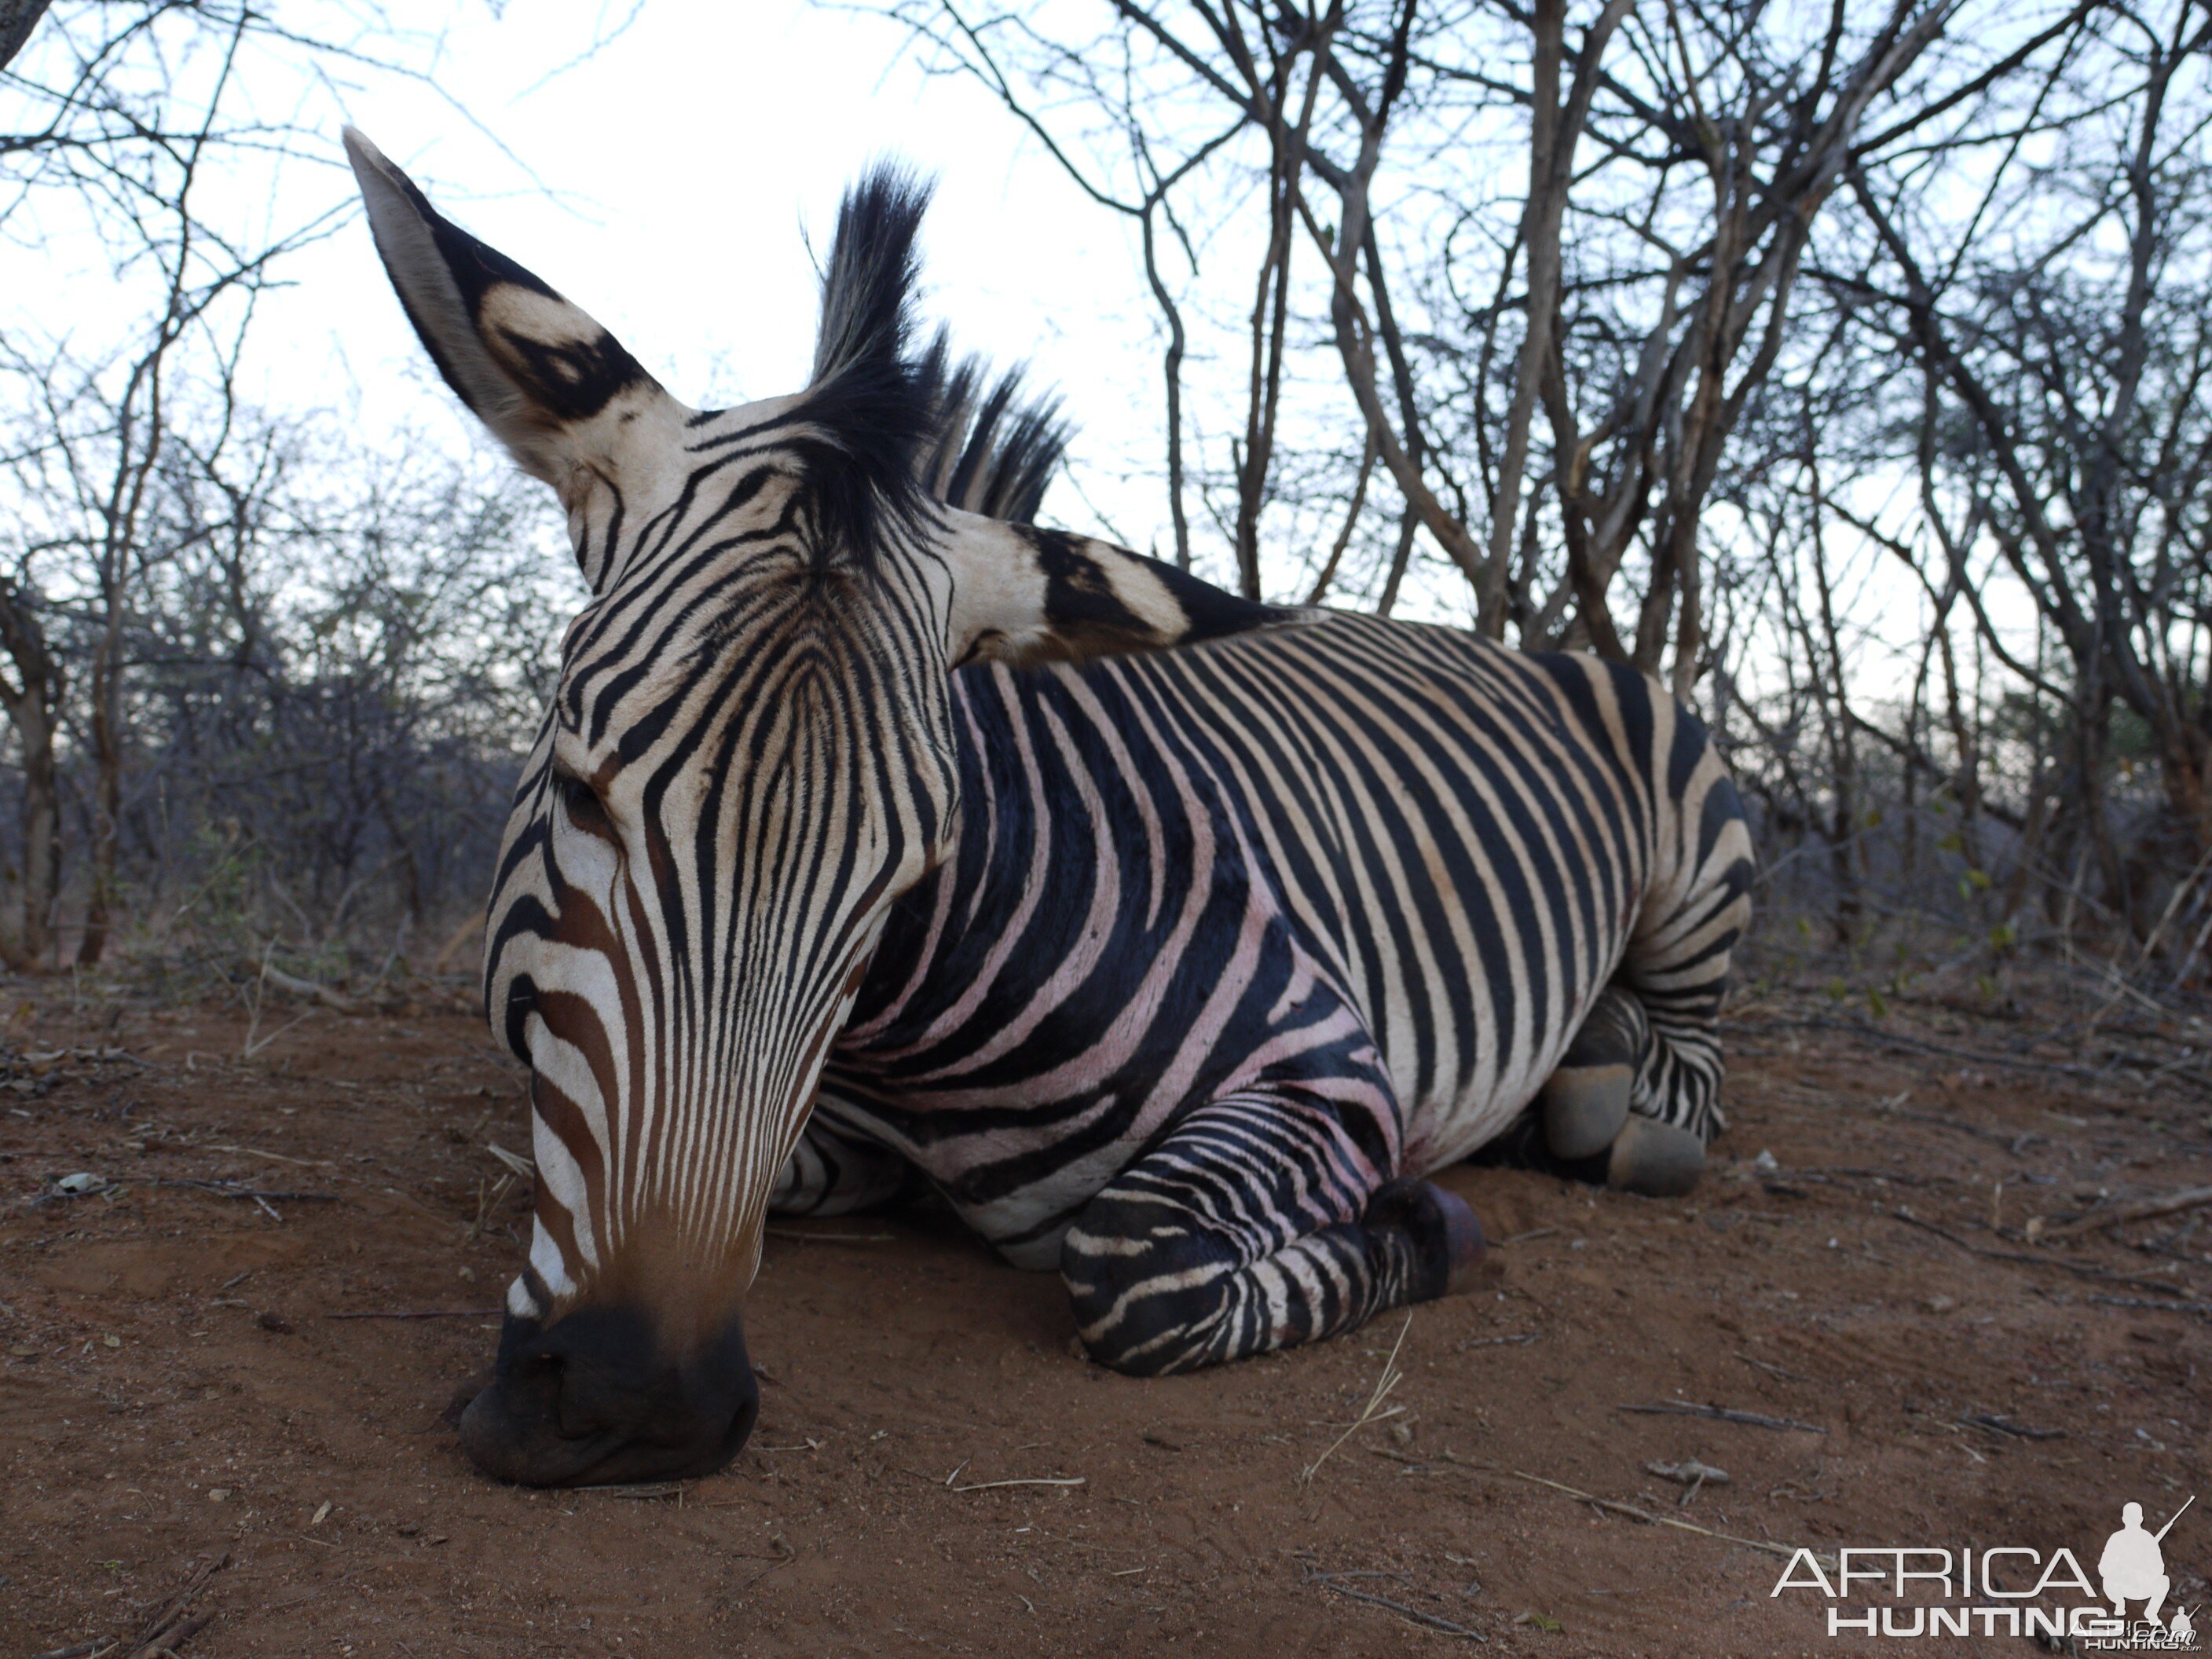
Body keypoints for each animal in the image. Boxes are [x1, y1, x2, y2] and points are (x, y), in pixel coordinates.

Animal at [345, 123, 1752, 1486]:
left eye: (915, 868)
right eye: (578, 788)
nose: (642, 1411)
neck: (916, 1040)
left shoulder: (1329, 1070)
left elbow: (1134, 1266)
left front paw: (1428, 1222)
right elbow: (731, 1168)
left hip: (1698, 864)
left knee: (1688, 1082)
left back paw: (1607, 1103)